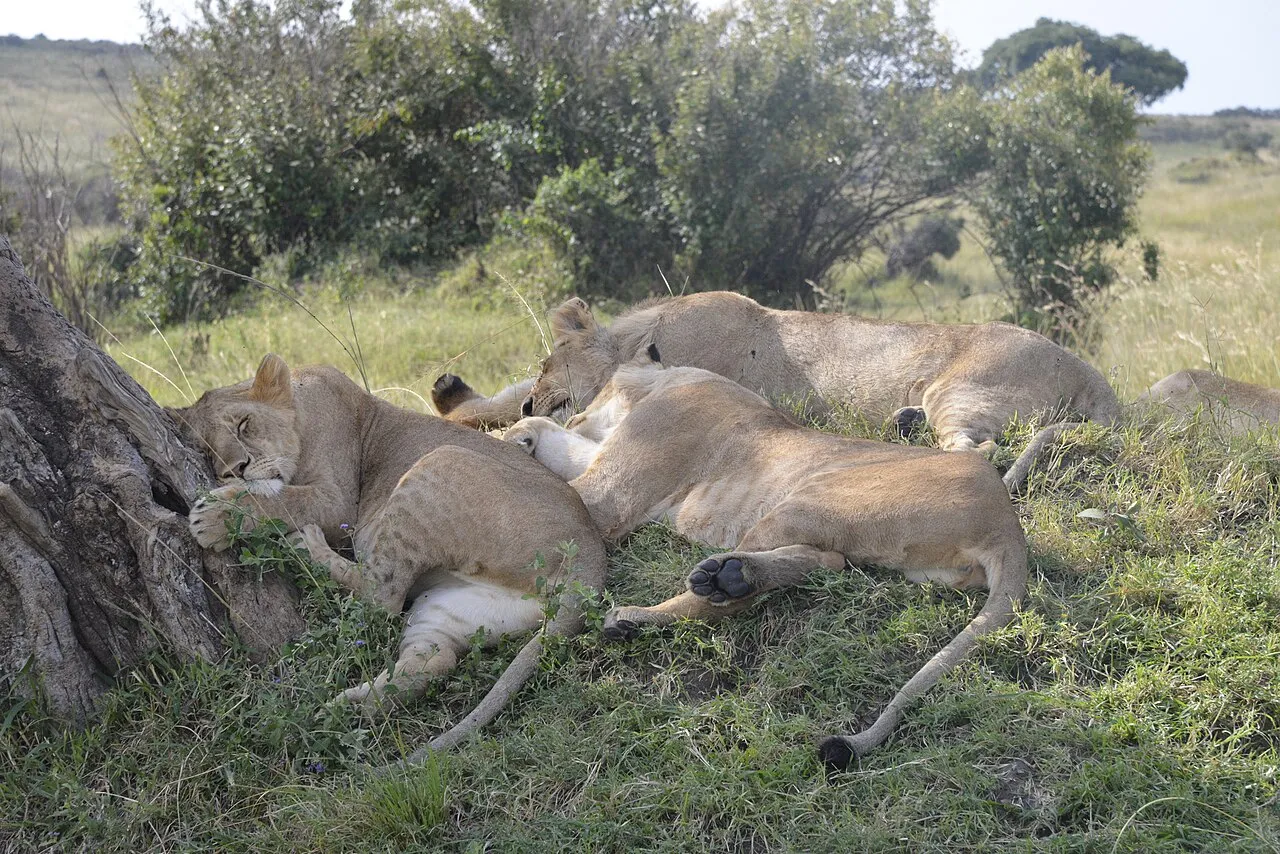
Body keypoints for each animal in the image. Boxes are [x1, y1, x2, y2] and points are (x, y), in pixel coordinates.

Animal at [170, 354, 607, 756]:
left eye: (243, 424)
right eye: (207, 452)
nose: (235, 469)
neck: (302, 404)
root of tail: (590, 555)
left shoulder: (338, 501)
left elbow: (279, 499)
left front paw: (213, 517)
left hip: (439, 462)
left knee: (380, 599)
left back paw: (305, 548)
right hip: (449, 609)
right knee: (432, 662)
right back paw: (342, 711)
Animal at [503, 361, 1031, 769]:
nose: (576, 414)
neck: (668, 379)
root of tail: (1007, 524)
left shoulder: (607, 498)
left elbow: (570, 480)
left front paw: (521, 435)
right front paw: (525, 436)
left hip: (811, 496)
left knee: (726, 598)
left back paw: (660, 608)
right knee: (829, 562)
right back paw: (725, 580)